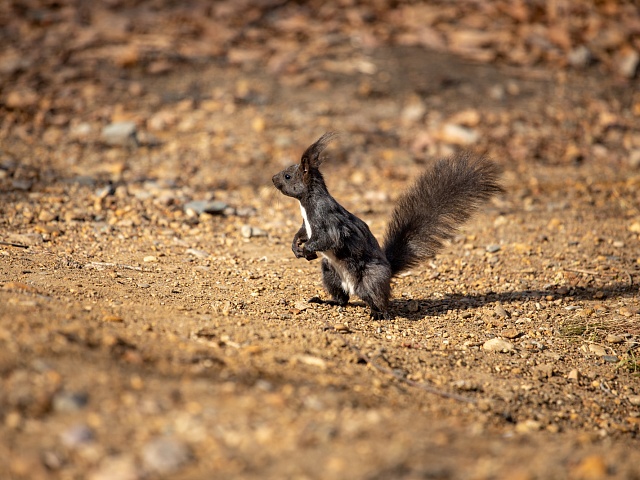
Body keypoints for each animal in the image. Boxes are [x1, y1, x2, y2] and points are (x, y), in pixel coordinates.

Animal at [272, 132, 502, 318]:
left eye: (287, 176)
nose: (273, 178)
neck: (305, 203)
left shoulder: (328, 219)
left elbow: (329, 238)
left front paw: (307, 249)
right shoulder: (306, 224)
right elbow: (301, 232)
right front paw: (296, 247)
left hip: (371, 278)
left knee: (378, 300)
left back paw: (378, 313)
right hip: (330, 273)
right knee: (343, 299)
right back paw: (326, 301)